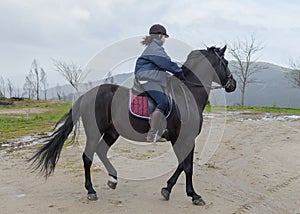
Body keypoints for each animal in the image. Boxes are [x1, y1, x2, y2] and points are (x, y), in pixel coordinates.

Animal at [29, 45, 237, 206]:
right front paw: (194, 195)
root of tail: (87, 95)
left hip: (112, 132)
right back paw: (91, 191)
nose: (233, 84)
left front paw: (167, 189)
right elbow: (187, 166)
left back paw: (113, 179)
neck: (187, 93)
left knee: (101, 151)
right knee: (88, 157)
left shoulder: (180, 139)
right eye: (226, 63)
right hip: (95, 132)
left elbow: (182, 164)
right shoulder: (185, 138)